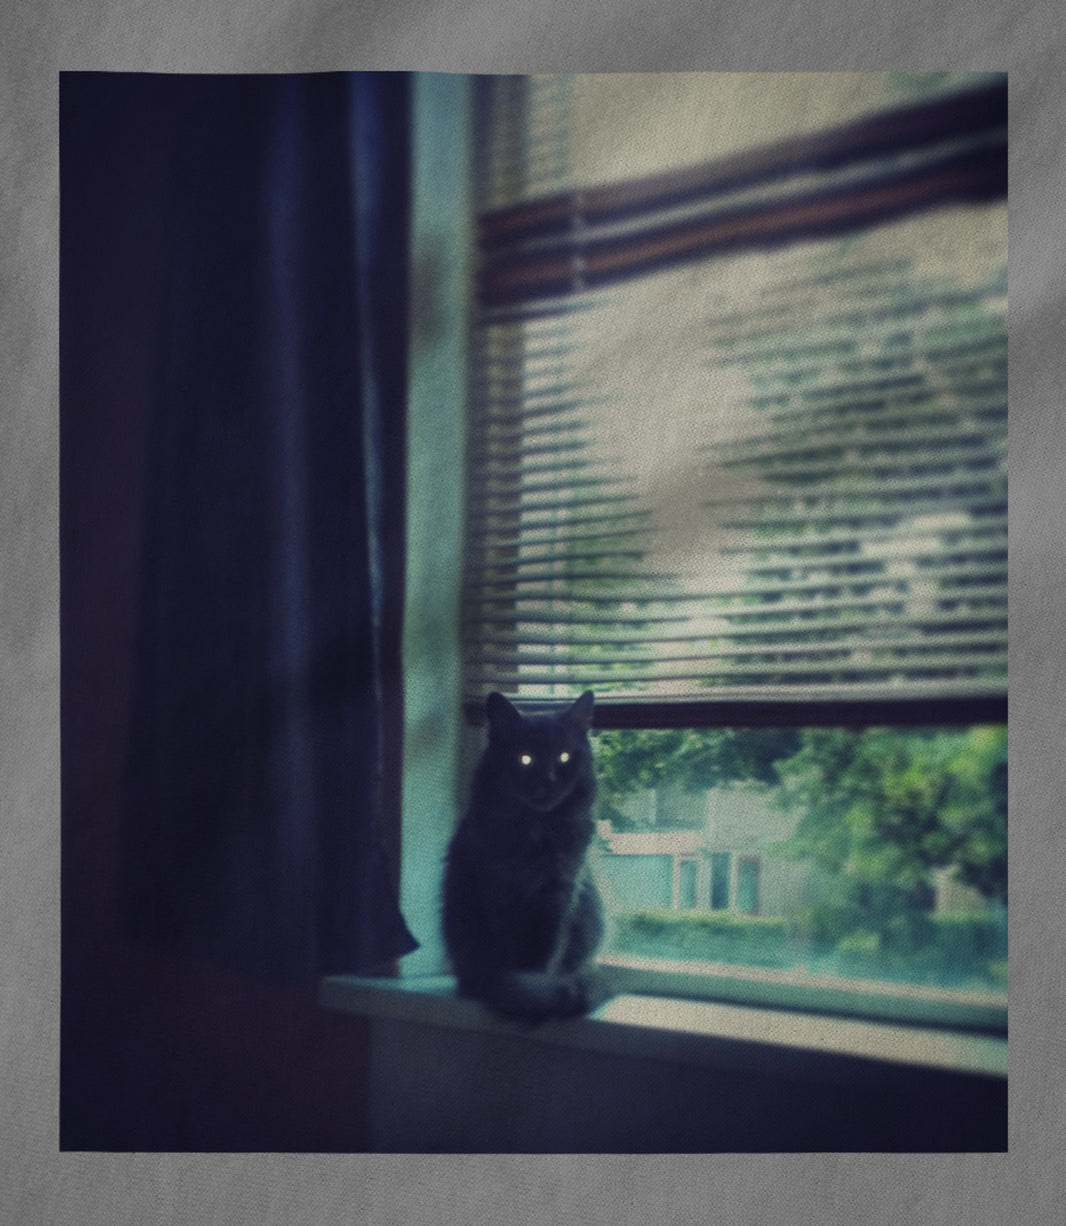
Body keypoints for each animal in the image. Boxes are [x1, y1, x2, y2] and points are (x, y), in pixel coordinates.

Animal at [441, 690, 606, 1022]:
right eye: (525, 758)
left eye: (564, 757)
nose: (550, 780)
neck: (537, 832)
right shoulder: (501, 891)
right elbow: (513, 954)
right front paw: (523, 992)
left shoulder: (557, 895)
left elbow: (545, 954)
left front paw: (536, 988)